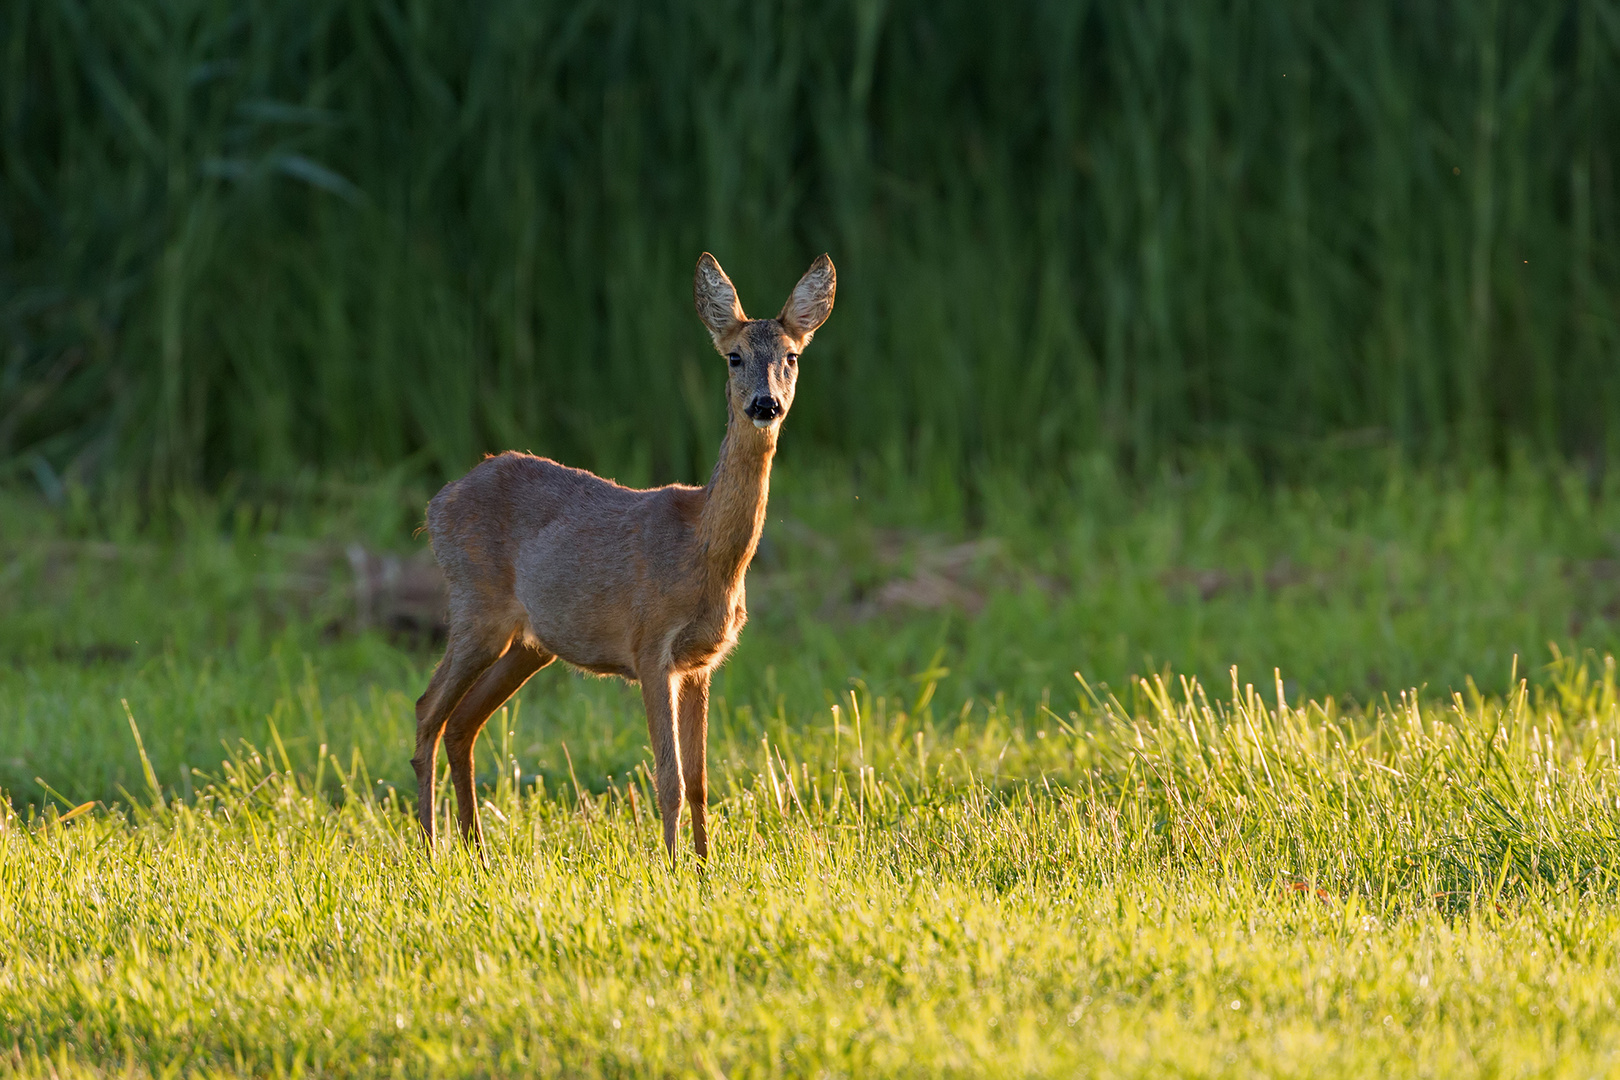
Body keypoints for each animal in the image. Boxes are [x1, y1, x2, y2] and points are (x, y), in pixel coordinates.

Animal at [414, 250, 835, 861]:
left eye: (792, 357)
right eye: (733, 356)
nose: (765, 404)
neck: (704, 551)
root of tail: (437, 503)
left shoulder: (702, 662)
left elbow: (701, 779)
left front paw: (707, 865)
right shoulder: (649, 645)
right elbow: (669, 779)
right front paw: (672, 866)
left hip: (530, 643)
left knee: (462, 722)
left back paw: (478, 852)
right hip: (476, 606)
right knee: (428, 710)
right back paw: (430, 847)